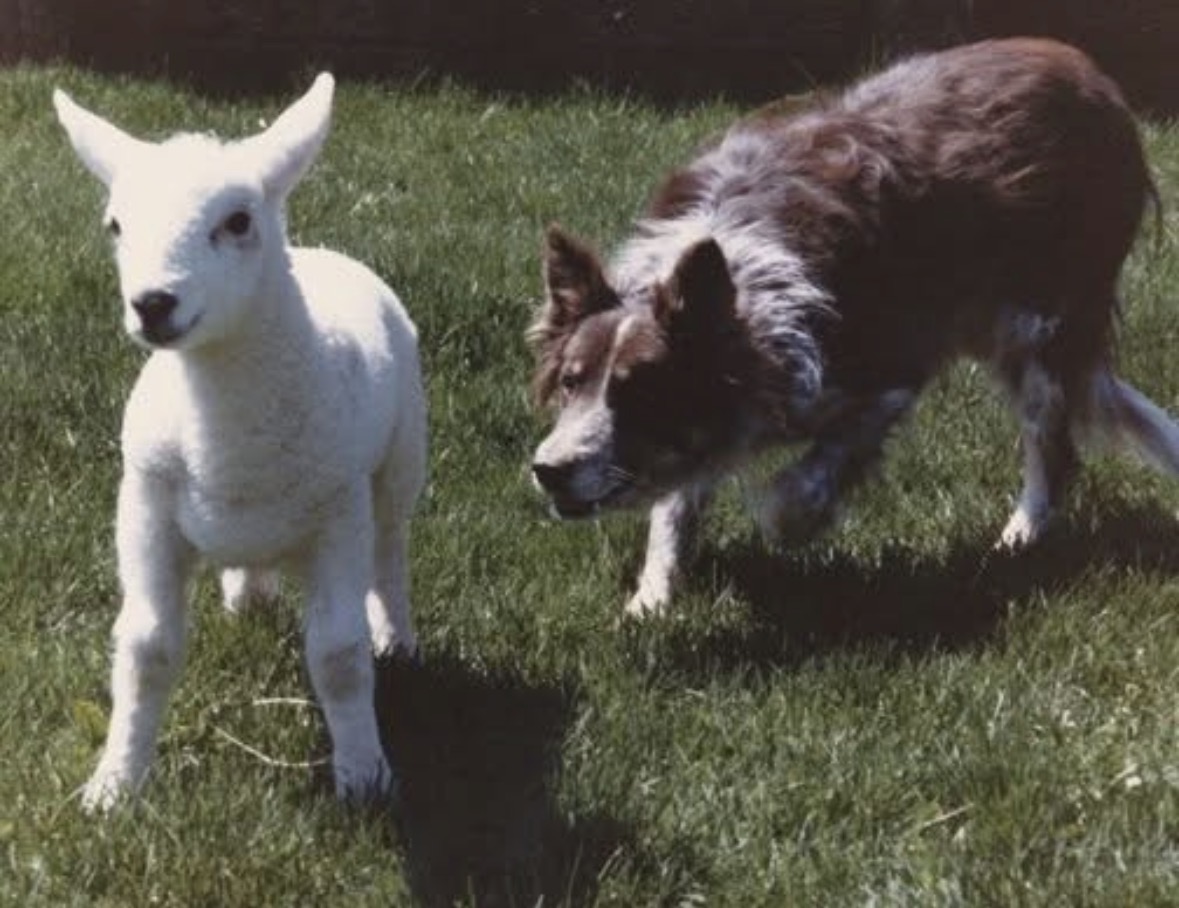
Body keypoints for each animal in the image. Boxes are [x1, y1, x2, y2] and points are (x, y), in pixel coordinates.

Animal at [54, 74, 427, 809]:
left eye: (237, 223)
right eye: (116, 225)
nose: (153, 303)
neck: (227, 440)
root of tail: (318, 251)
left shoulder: (339, 514)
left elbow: (339, 657)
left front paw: (364, 775)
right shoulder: (144, 509)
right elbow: (145, 649)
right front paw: (115, 784)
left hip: (401, 458)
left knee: (391, 550)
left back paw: (394, 635)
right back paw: (247, 598)